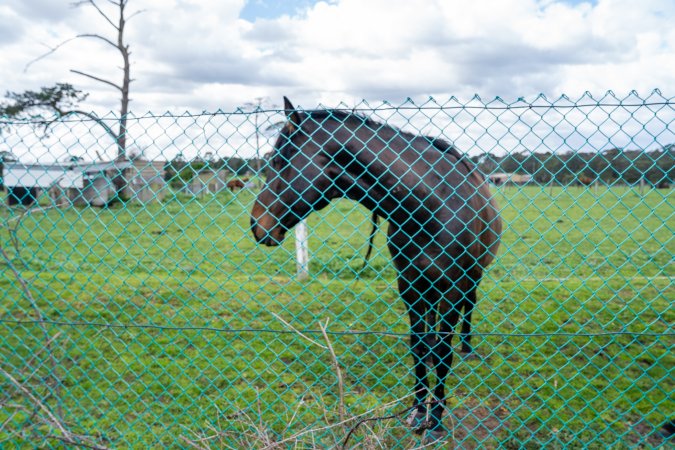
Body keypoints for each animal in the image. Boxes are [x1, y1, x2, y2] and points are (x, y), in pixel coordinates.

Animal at [251, 97, 502, 443]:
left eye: (278, 160)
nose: (256, 225)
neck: (429, 206)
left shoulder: (451, 288)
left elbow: (442, 352)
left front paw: (436, 419)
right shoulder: (409, 285)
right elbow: (419, 347)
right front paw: (418, 411)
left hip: (472, 277)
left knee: (469, 306)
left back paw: (466, 346)